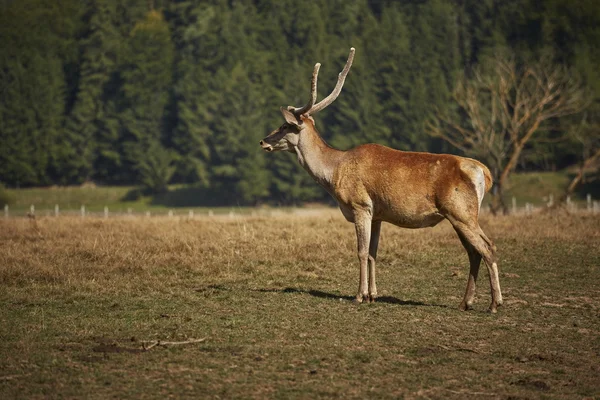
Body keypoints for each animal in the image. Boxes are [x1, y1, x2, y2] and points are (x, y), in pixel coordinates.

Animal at [260, 48, 504, 312]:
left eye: (284, 126)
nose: (263, 141)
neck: (334, 172)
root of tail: (483, 172)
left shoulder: (360, 205)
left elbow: (360, 251)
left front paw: (359, 295)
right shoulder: (377, 214)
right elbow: (373, 253)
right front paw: (373, 295)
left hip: (461, 211)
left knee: (488, 247)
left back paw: (495, 303)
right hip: (459, 215)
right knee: (474, 252)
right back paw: (465, 302)